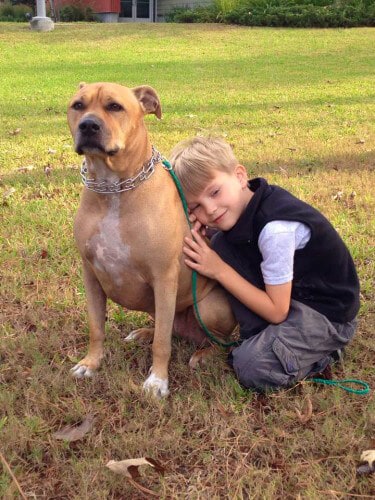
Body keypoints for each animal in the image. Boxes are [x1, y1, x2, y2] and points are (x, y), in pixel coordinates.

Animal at [67, 84, 235, 398]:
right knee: (162, 326)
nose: (88, 125)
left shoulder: (164, 277)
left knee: (212, 339)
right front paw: (91, 364)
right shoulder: (91, 275)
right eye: (78, 105)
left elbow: (162, 344)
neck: (113, 189)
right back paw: (143, 333)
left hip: (208, 308)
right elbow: (96, 327)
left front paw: (157, 381)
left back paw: (203, 354)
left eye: (115, 106)